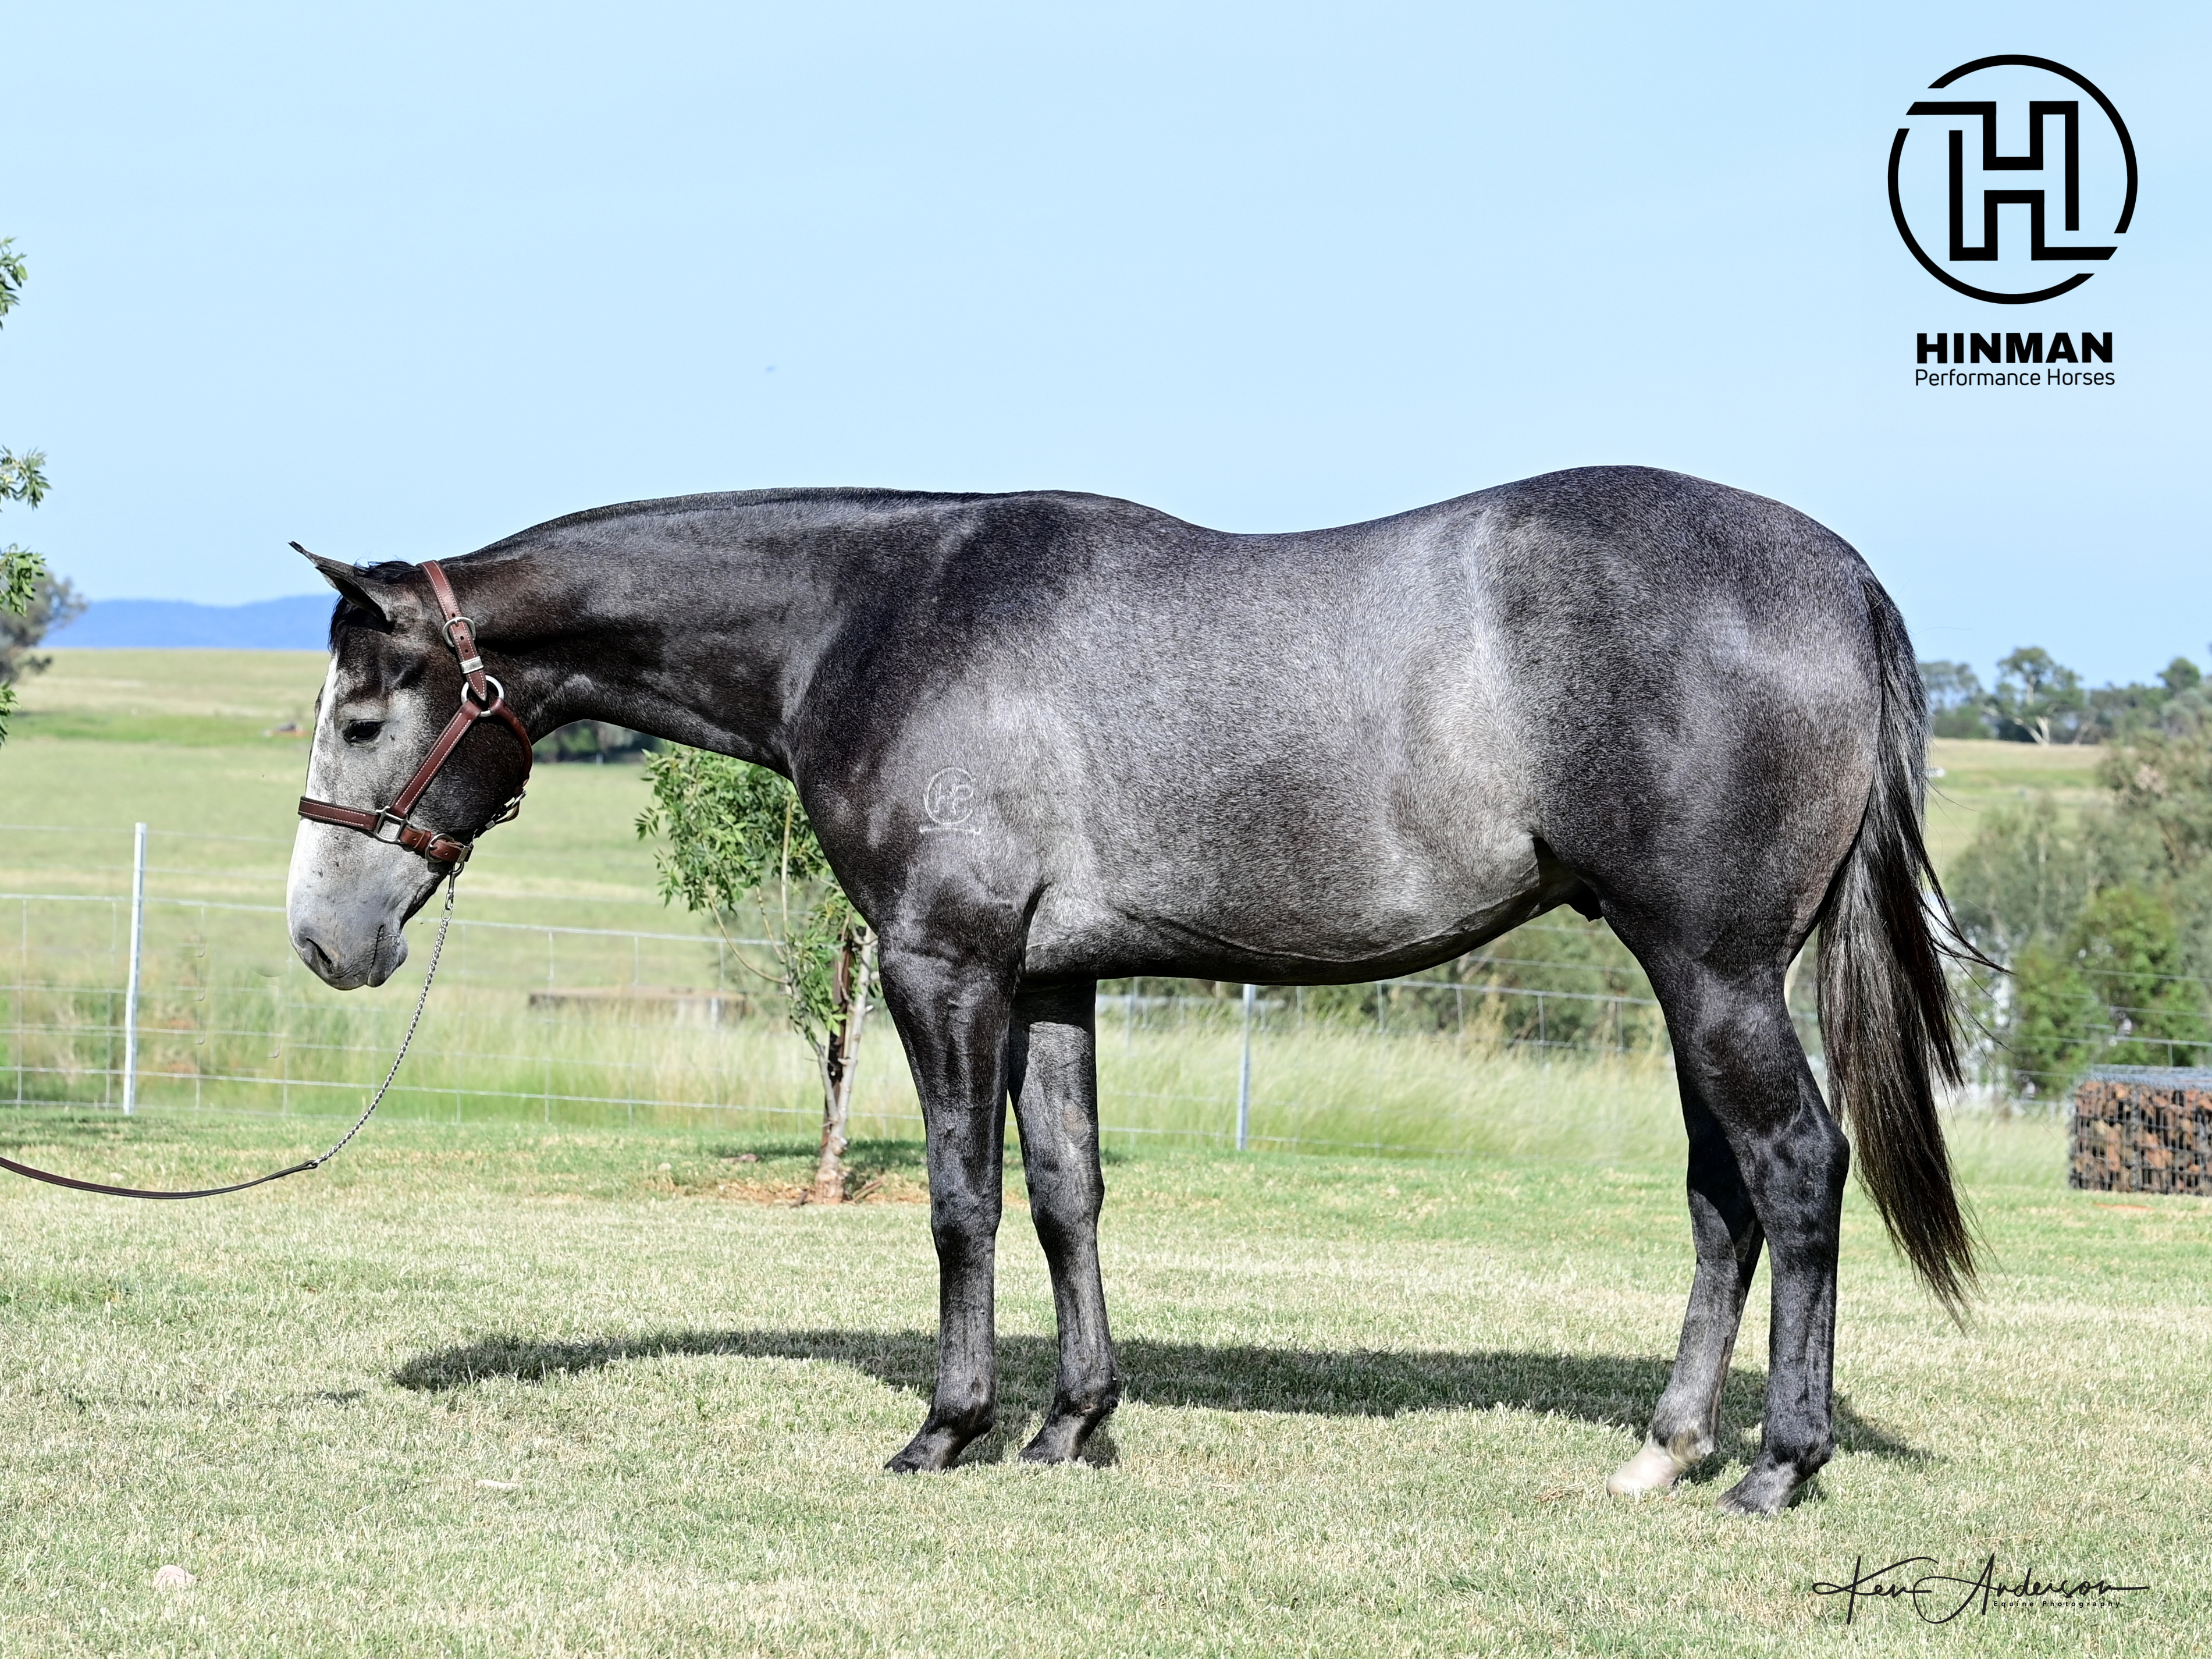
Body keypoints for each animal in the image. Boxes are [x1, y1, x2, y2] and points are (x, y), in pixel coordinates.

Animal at [284, 464, 1974, 1515]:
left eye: (364, 716)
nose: (321, 940)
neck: (876, 615)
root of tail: (1844, 580)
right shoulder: (1052, 980)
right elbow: (1066, 1192)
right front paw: (1068, 1422)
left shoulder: (945, 958)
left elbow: (961, 1197)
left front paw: (948, 1427)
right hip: (1688, 971)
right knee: (1722, 1196)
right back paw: (1664, 1450)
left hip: (1714, 969)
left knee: (1793, 1170)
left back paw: (1778, 1463)